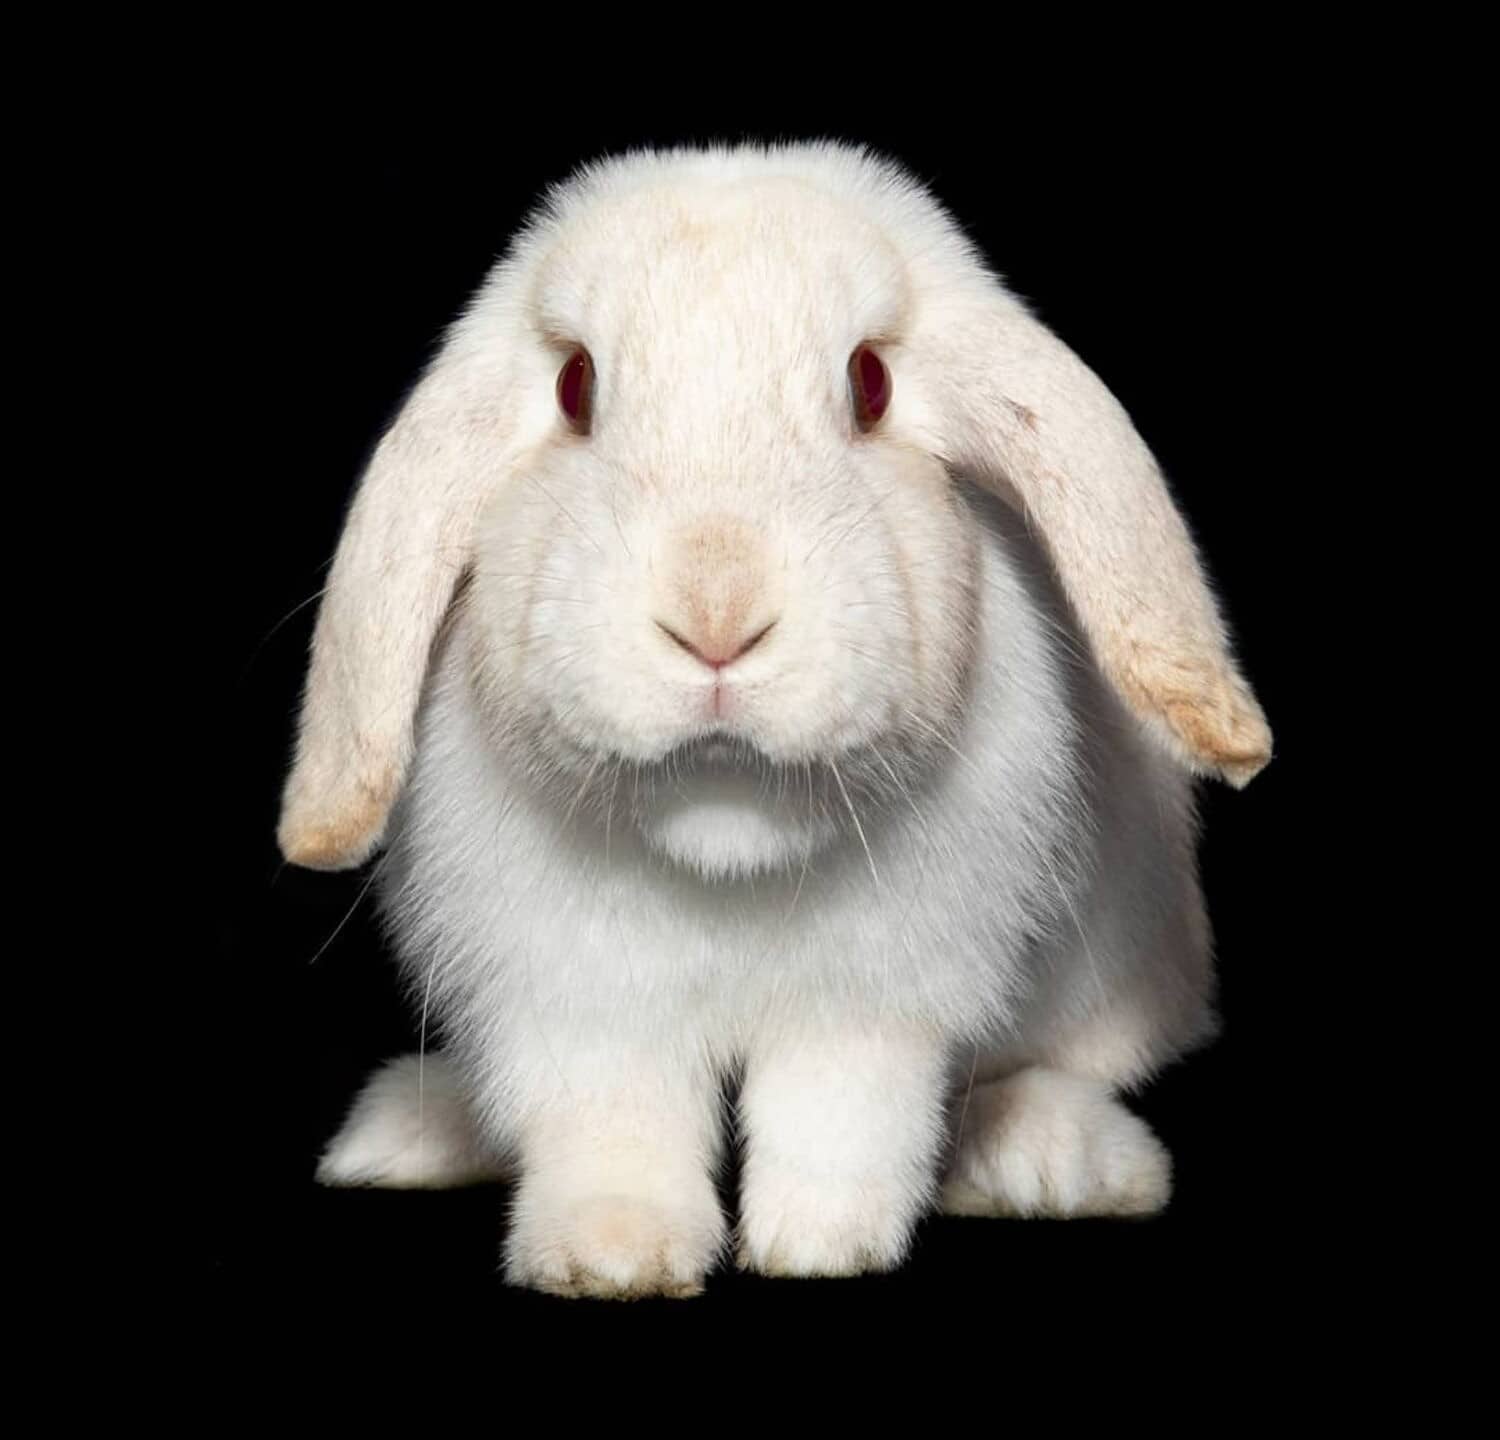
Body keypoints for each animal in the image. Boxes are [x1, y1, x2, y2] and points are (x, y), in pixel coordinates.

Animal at [286, 141, 1272, 1302]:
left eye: (871, 382)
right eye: (576, 386)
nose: (717, 615)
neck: (728, 844)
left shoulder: (873, 1010)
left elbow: (839, 1124)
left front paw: (820, 1248)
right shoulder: (576, 1011)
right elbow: (612, 1129)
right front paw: (609, 1253)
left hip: (1121, 970)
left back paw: (1049, 1159)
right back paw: (409, 1131)